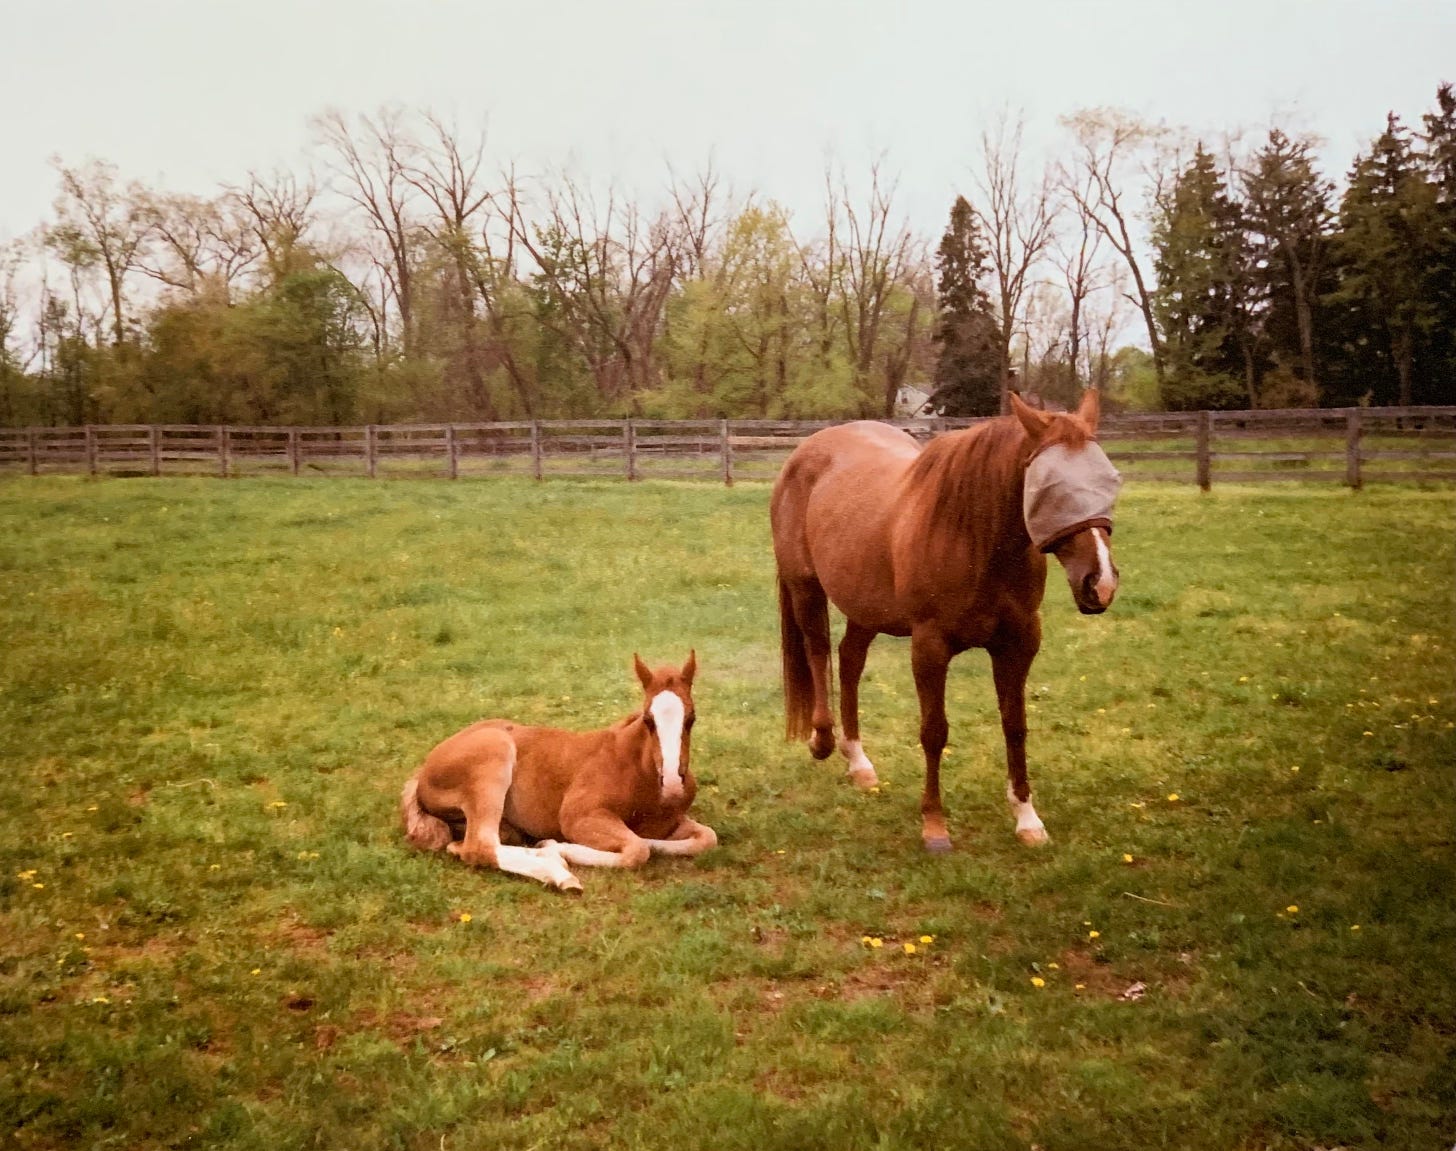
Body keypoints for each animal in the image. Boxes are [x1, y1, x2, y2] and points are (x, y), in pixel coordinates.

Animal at [398, 648, 716, 890]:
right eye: (649, 720)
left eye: (692, 718)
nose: (673, 784)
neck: (637, 770)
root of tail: (423, 770)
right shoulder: (579, 816)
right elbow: (638, 849)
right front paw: (557, 846)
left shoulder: (672, 823)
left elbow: (704, 839)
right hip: (493, 759)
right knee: (480, 846)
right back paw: (558, 874)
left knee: (470, 845)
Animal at [774, 392, 1124, 849]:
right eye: (1051, 488)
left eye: (1109, 481)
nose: (1100, 583)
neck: (973, 537)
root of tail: (805, 452)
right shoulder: (930, 646)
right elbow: (934, 731)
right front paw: (934, 825)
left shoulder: (1019, 642)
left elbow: (1015, 725)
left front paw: (1027, 818)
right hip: (806, 588)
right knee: (818, 653)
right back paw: (823, 740)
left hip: (865, 607)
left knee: (849, 662)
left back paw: (859, 761)